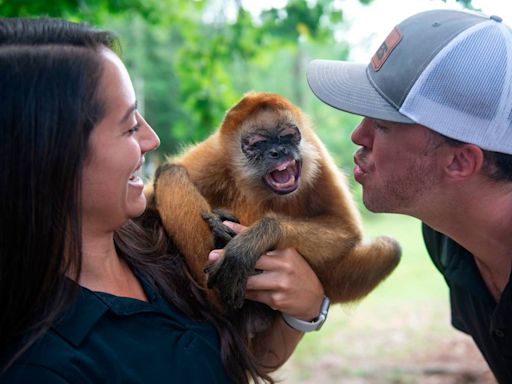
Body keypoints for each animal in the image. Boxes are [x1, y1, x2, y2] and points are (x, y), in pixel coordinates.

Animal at [146, 91, 402, 316]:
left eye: (288, 136)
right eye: (257, 143)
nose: (278, 151)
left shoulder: (315, 149)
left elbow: (346, 230)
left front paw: (255, 239)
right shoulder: (215, 153)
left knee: (391, 248)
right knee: (170, 172)